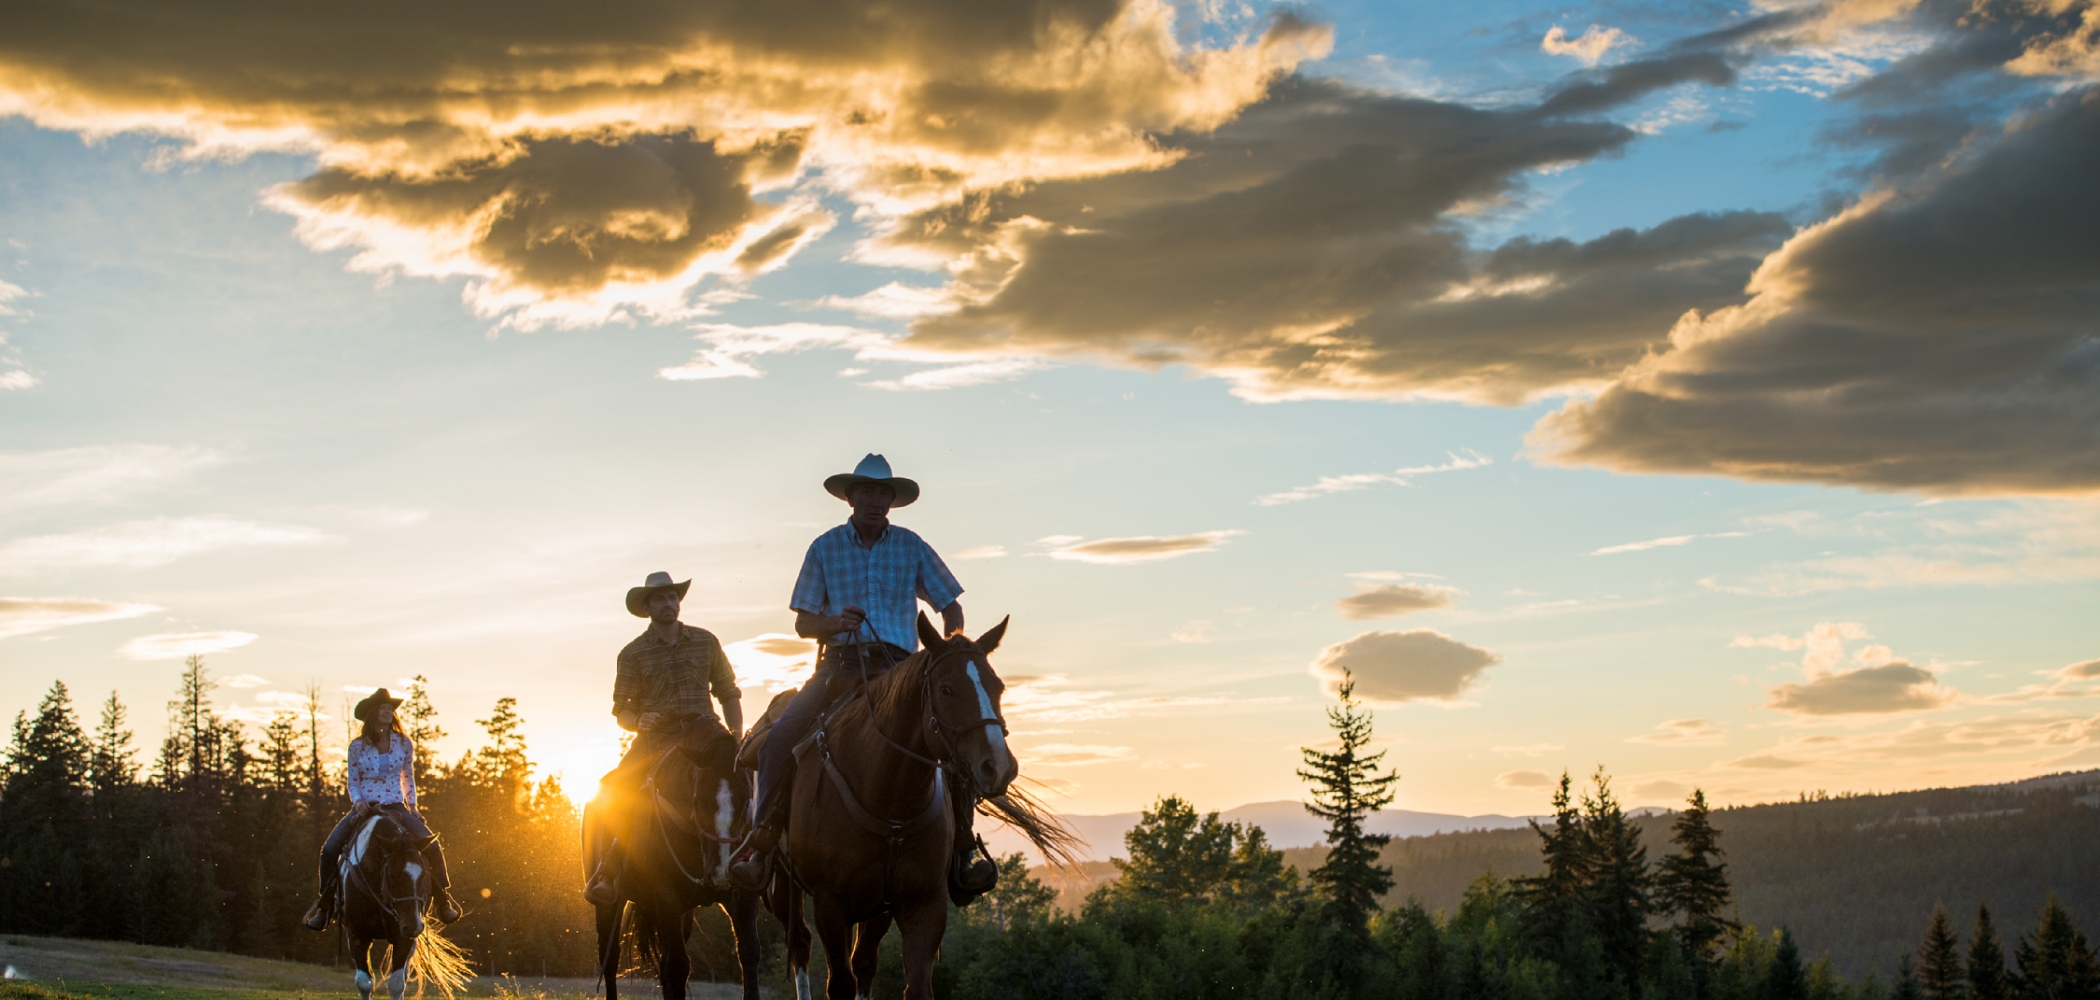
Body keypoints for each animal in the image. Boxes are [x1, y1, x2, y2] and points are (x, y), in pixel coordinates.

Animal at [338, 810, 470, 1000]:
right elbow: (364, 983)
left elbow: (396, 983)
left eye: (424, 874)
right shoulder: (356, 932)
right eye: (392, 875)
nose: (413, 925)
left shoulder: (403, 938)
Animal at [583, 726, 764, 1000]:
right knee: (610, 958)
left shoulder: (742, 897)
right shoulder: (668, 900)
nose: (721, 870)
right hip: (609, 903)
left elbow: (749, 954)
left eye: (746, 800)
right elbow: (678, 967)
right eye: (698, 799)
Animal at [764, 609, 1075, 1000]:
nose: (999, 766)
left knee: (862, 962)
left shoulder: (924, 903)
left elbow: (913, 983)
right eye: (946, 689)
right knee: (800, 947)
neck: (888, 799)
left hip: (876, 907)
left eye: (999, 687)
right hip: (783, 888)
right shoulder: (830, 905)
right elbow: (839, 983)